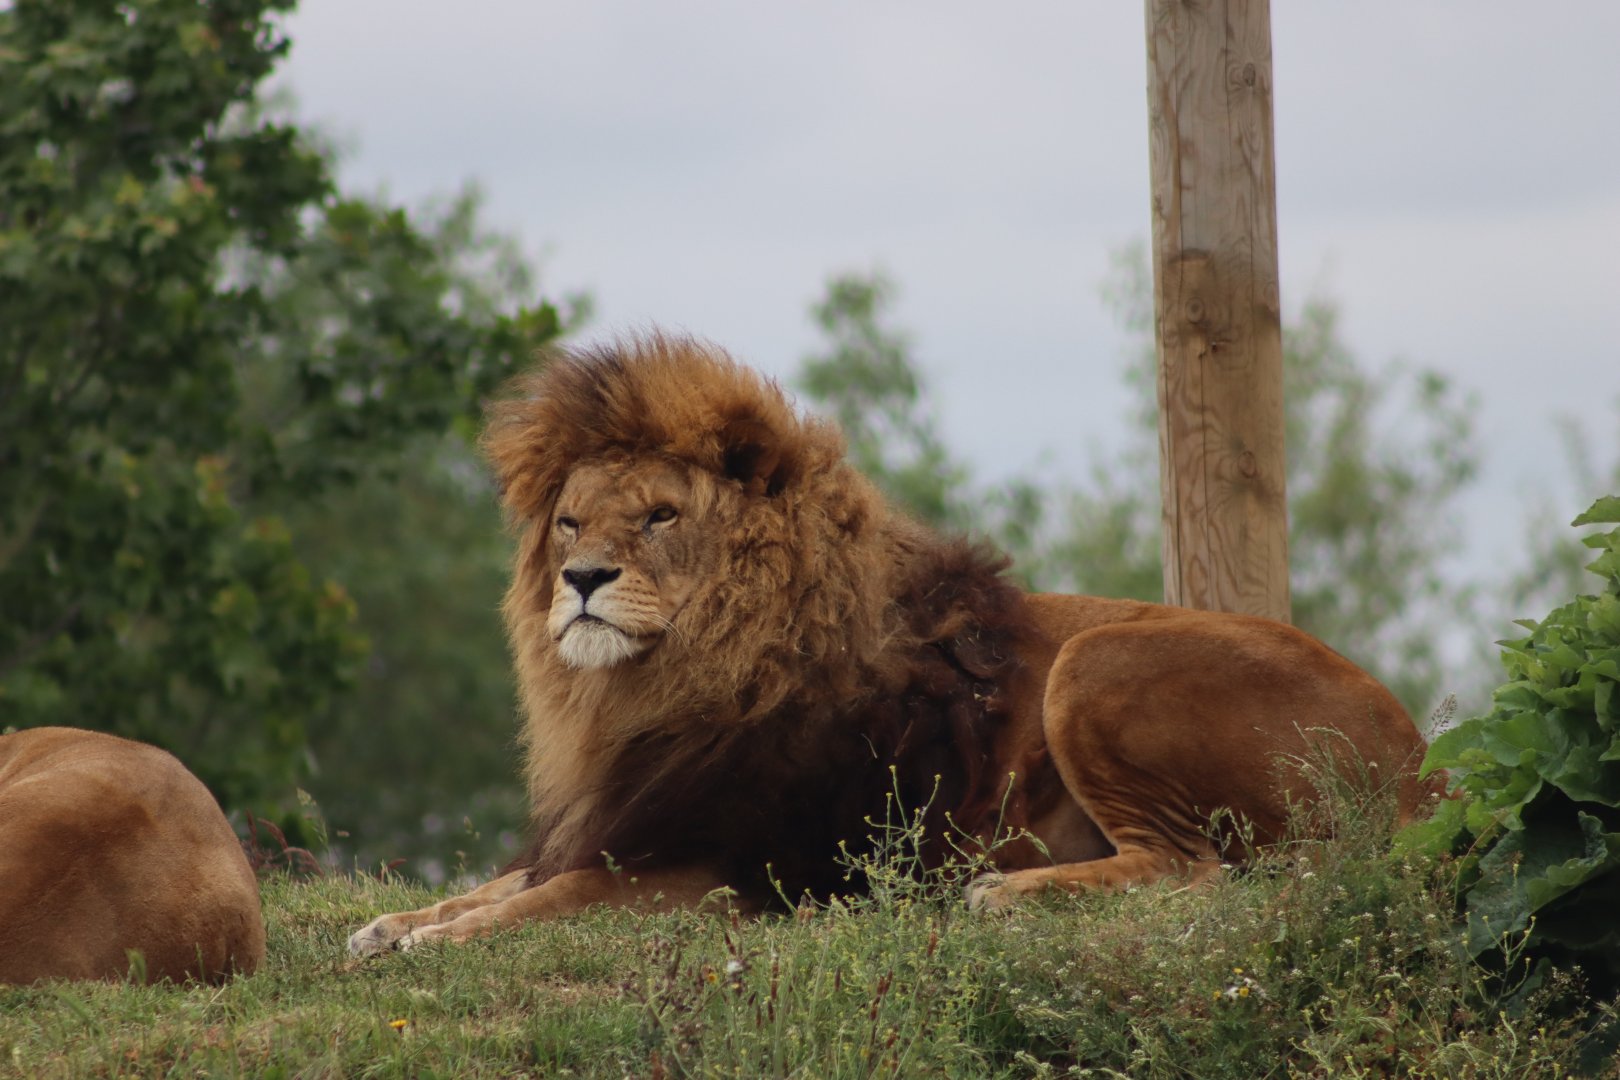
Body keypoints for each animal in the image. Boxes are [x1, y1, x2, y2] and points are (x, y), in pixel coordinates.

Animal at [349, 335, 1438, 954]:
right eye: (572, 522)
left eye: (660, 516)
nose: (581, 581)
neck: (650, 690)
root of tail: (1422, 765)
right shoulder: (626, 822)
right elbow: (507, 882)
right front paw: (394, 924)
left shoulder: (718, 874)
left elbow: (548, 899)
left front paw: (436, 940)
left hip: (1101, 659)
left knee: (1195, 870)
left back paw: (1005, 891)